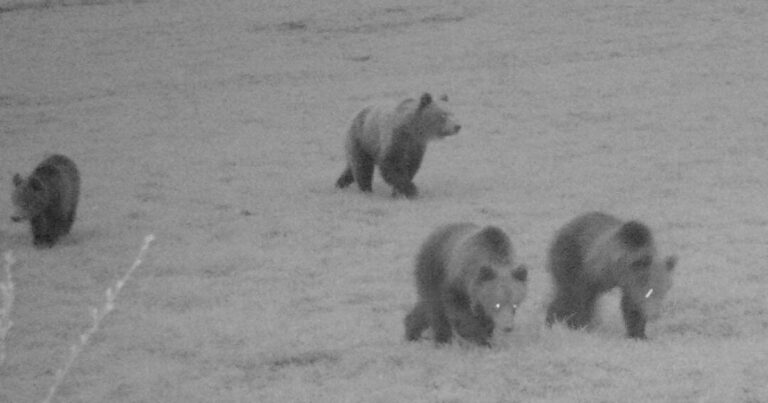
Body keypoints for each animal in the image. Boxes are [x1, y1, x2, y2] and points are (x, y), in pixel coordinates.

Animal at [332, 92, 460, 199]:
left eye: (452, 113)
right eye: (443, 115)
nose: (457, 126)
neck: (412, 129)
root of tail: (355, 113)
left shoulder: (416, 146)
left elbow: (411, 166)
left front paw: (399, 192)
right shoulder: (395, 139)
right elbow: (391, 165)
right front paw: (411, 190)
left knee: (352, 166)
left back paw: (340, 183)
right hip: (361, 138)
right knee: (362, 166)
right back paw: (366, 189)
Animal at [544, 213, 680, 340]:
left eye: (664, 291)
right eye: (649, 291)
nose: (654, 314)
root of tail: (561, 230)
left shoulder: (629, 284)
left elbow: (630, 306)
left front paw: (639, 334)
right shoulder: (596, 273)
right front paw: (580, 325)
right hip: (570, 261)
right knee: (569, 295)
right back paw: (556, 321)